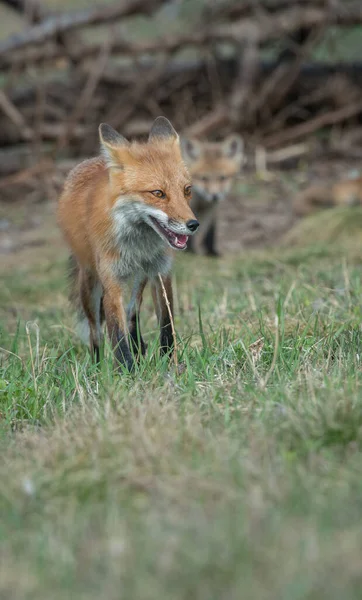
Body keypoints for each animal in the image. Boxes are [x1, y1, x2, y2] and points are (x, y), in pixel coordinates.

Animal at [57, 117, 199, 370]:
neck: (139, 246)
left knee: (133, 312)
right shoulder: (111, 281)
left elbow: (166, 324)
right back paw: (97, 367)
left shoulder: (161, 272)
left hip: (139, 279)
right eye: (158, 193)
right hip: (89, 285)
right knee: (96, 332)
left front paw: (168, 362)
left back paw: (139, 346)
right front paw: (127, 372)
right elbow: (116, 334)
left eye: (187, 190)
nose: (193, 224)